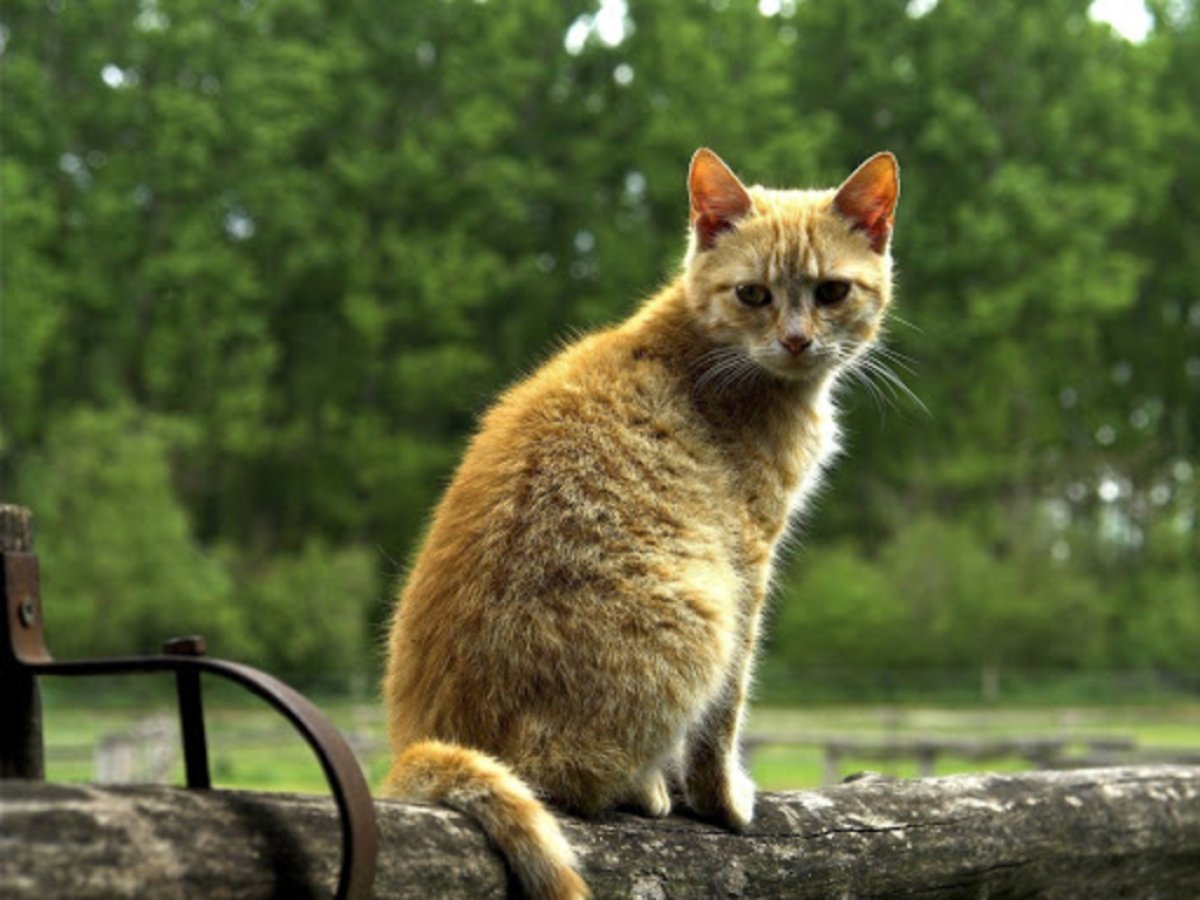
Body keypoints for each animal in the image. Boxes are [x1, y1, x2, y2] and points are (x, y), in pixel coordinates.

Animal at [384, 144, 902, 897]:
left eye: (831, 292)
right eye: (754, 295)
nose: (796, 339)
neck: (705, 352)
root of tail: (419, 744)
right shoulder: (746, 564)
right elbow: (724, 717)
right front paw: (722, 801)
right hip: (703, 614)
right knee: (569, 783)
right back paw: (645, 787)